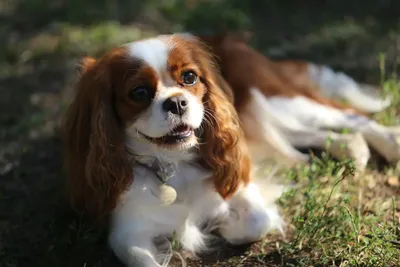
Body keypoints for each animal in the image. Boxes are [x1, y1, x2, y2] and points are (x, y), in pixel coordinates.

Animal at [62, 32, 400, 266]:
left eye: (189, 77)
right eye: (139, 92)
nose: (177, 102)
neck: (173, 164)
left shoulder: (239, 179)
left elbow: (256, 223)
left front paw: (220, 223)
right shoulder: (125, 231)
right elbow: (139, 255)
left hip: (279, 100)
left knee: (352, 115)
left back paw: (389, 142)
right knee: (299, 139)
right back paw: (351, 148)